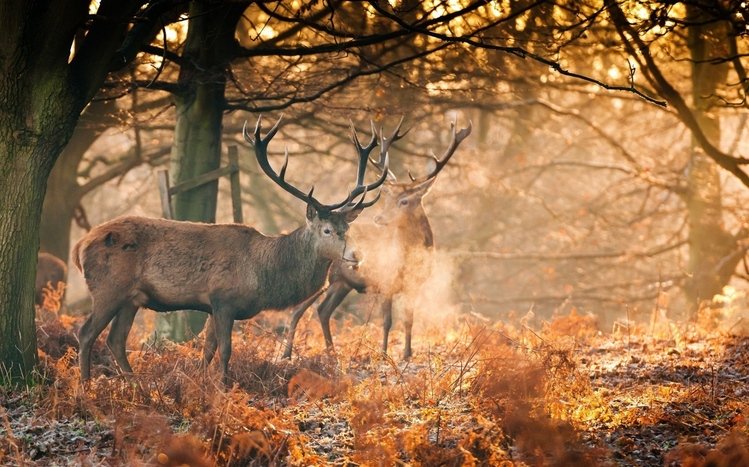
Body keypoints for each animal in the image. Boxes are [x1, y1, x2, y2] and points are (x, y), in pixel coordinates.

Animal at [72, 116, 389, 382]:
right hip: (108, 288)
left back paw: (135, 384)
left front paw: (201, 384)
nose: (356, 256)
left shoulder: (212, 306)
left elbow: (207, 350)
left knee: (115, 339)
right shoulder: (223, 298)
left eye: (347, 228)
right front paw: (223, 388)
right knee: (86, 333)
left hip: (132, 298)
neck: (263, 275)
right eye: (327, 230)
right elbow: (225, 350)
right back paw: (85, 387)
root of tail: (80, 245)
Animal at [283, 119, 471, 360]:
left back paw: (331, 352)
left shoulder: (415, 286)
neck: (409, 258)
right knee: (297, 310)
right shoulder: (385, 281)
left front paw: (407, 354)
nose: (379, 218)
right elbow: (387, 321)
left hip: (342, 283)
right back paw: (287, 354)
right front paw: (383, 354)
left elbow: (409, 320)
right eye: (387, 198)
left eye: (404, 201)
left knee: (323, 310)